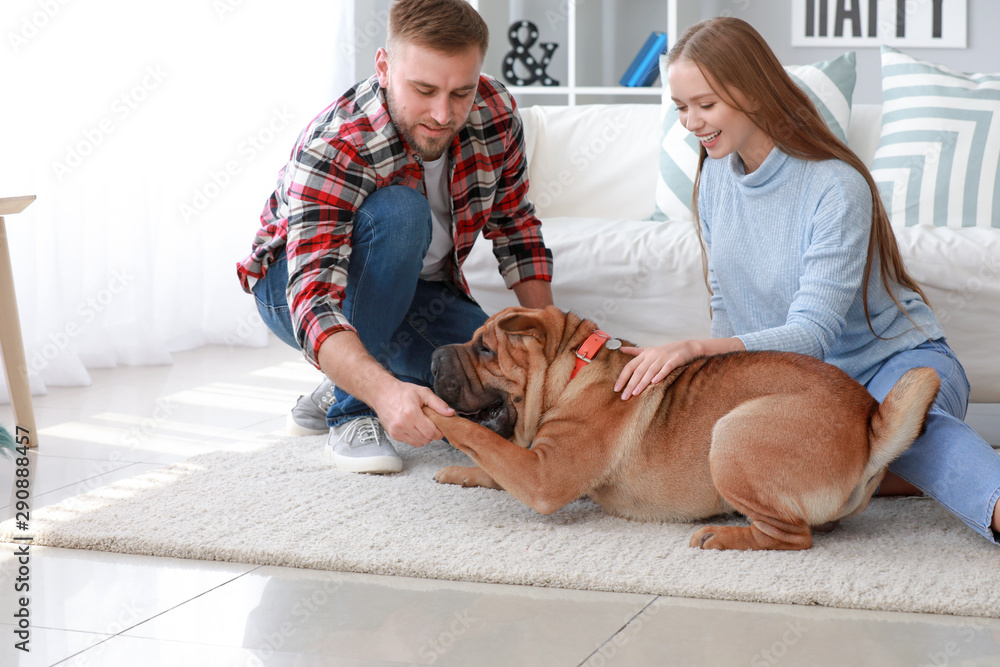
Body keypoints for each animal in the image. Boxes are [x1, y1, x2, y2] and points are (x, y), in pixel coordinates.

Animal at [426, 306, 940, 552]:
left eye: (486, 350)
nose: (432, 359)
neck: (572, 369)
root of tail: (869, 424)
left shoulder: (543, 476)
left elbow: (481, 438)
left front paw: (428, 413)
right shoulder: (533, 463)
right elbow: (493, 459)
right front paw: (459, 473)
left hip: (732, 435)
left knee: (793, 536)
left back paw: (723, 537)